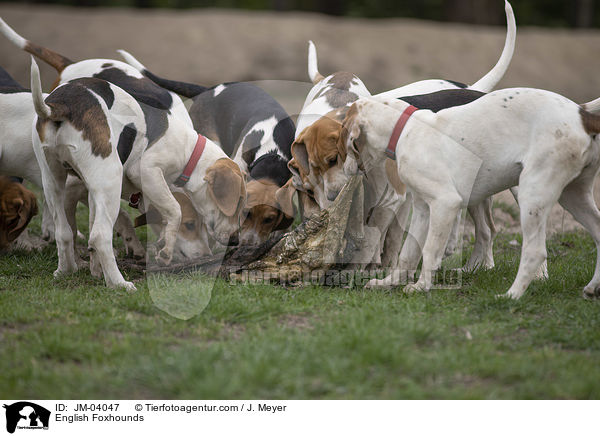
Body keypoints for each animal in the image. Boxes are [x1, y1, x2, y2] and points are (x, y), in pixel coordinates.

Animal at [340, 88, 600, 300]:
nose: (345, 171)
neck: (405, 128)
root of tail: (583, 113)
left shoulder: (445, 203)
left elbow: (430, 250)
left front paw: (422, 286)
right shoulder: (423, 209)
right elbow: (408, 253)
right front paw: (389, 283)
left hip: (533, 193)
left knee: (535, 252)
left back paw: (511, 295)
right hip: (573, 195)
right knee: (597, 233)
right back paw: (592, 288)